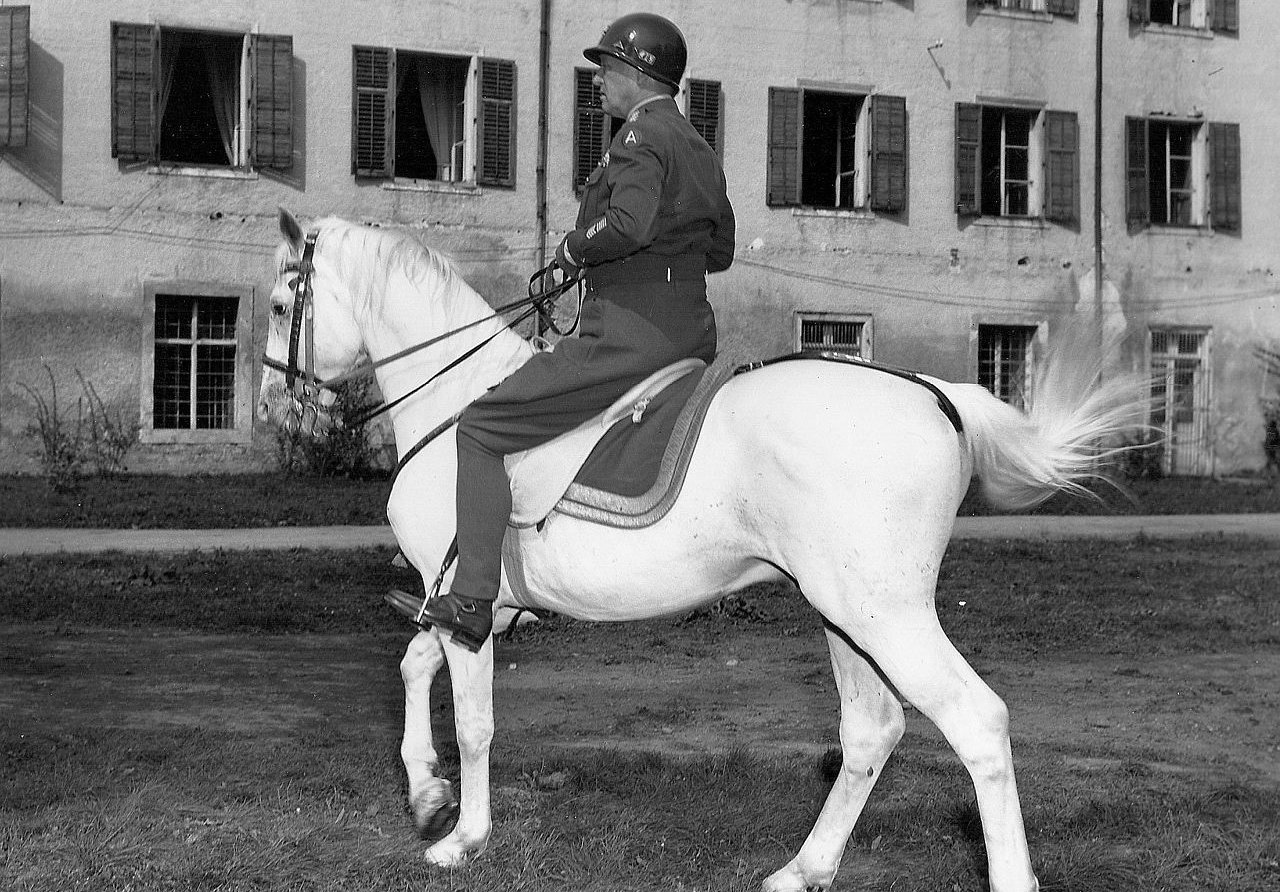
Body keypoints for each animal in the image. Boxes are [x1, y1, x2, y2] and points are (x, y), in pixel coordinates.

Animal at [257, 210, 1149, 892]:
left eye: (274, 305)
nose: (271, 408)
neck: (456, 400)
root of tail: (936, 394)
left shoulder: (469, 604)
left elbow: (473, 721)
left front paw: (463, 838)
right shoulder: (469, 602)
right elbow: (414, 669)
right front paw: (424, 792)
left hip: (887, 615)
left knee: (976, 723)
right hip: (845, 615)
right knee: (873, 729)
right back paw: (803, 869)